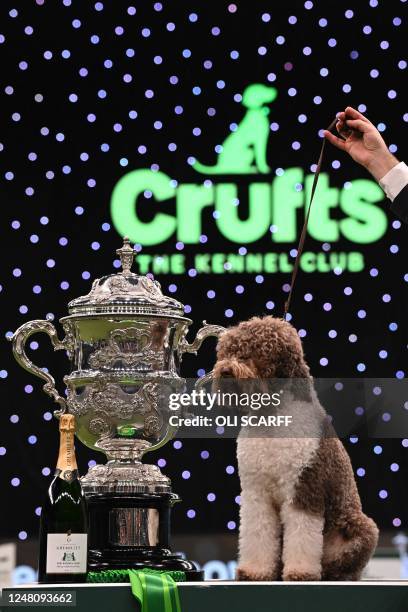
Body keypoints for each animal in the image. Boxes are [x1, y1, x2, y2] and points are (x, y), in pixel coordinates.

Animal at [214, 318, 380, 580]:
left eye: (255, 352)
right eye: (228, 352)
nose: (226, 370)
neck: (271, 417)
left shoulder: (304, 488)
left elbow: (302, 535)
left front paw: (300, 571)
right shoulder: (257, 493)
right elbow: (257, 533)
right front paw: (255, 571)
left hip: (360, 527)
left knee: (344, 565)